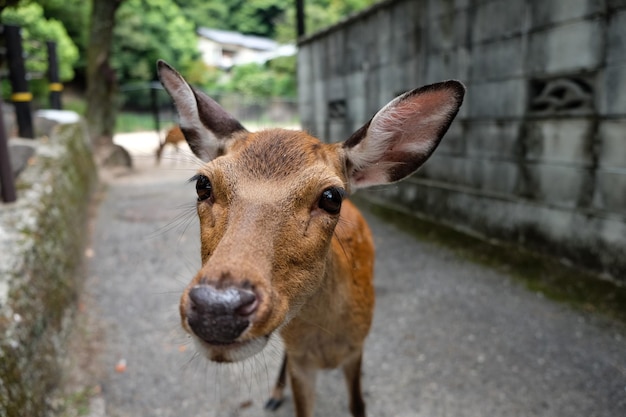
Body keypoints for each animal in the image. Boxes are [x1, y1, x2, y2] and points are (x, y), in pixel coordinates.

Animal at [156, 59, 464, 416]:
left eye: (331, 197)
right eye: (202, 184)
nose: (217, 309)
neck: (326, 344)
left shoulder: (356, 350)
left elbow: (357, 404)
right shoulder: (301, 361)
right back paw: (275, 393)